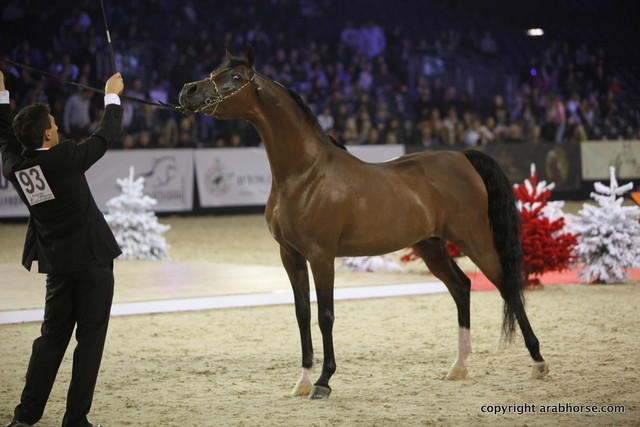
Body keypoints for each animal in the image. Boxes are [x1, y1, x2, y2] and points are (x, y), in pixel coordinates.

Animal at [178, 45, 549, 399]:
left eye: (236, 77)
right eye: (215, 70)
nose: (188, 90)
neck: (305, 174)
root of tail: (461, 157)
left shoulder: (321, 255)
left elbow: (326, 315)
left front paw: (324, 382)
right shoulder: (290, 255)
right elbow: (302, 314)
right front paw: (303, 380)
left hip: (475, 239)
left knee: (507, 286)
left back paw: (538, 362)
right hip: (431, 246)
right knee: (461, 286)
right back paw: (458, 367)